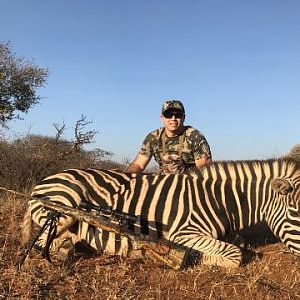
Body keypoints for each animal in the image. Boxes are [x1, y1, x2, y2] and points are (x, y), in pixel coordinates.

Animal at [22, 158, 300, 268]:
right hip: (67, 209)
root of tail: (43, 182)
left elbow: (240, 243)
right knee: (44, 242)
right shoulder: (184, 233)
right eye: (297, 215)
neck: (220, 201)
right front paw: (190, 259)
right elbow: (234, 255)